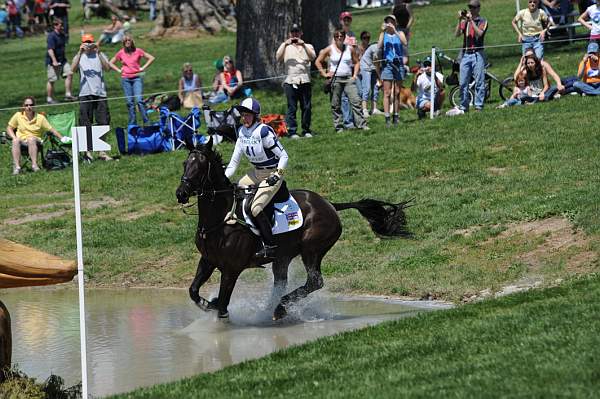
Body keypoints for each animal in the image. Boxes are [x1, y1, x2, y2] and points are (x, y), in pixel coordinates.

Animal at [175, 139, 412, 320]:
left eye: (200, 166)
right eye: (185, 163)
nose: (181, 193)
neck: (221, 220)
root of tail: (329, 204)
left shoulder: (231, 269)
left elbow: (223, 306)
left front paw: (218, 311)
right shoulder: (208, 260)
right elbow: (193, 291)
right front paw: (209, 302)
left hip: (312, 249)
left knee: (314, 281)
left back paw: (280, 308)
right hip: (283, 256)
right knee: (281, 282)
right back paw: (271, 309)